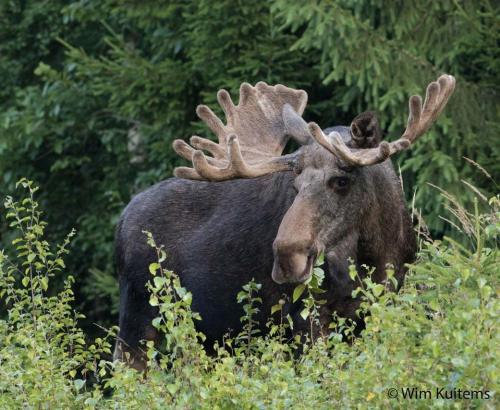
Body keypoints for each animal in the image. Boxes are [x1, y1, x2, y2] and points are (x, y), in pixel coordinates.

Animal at [114, 73, 458, 368]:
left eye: (341, 180)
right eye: (295, 184)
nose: (287, 257)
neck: (378, 251)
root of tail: (121, 220)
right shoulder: (306, 315)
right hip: (138, 317)